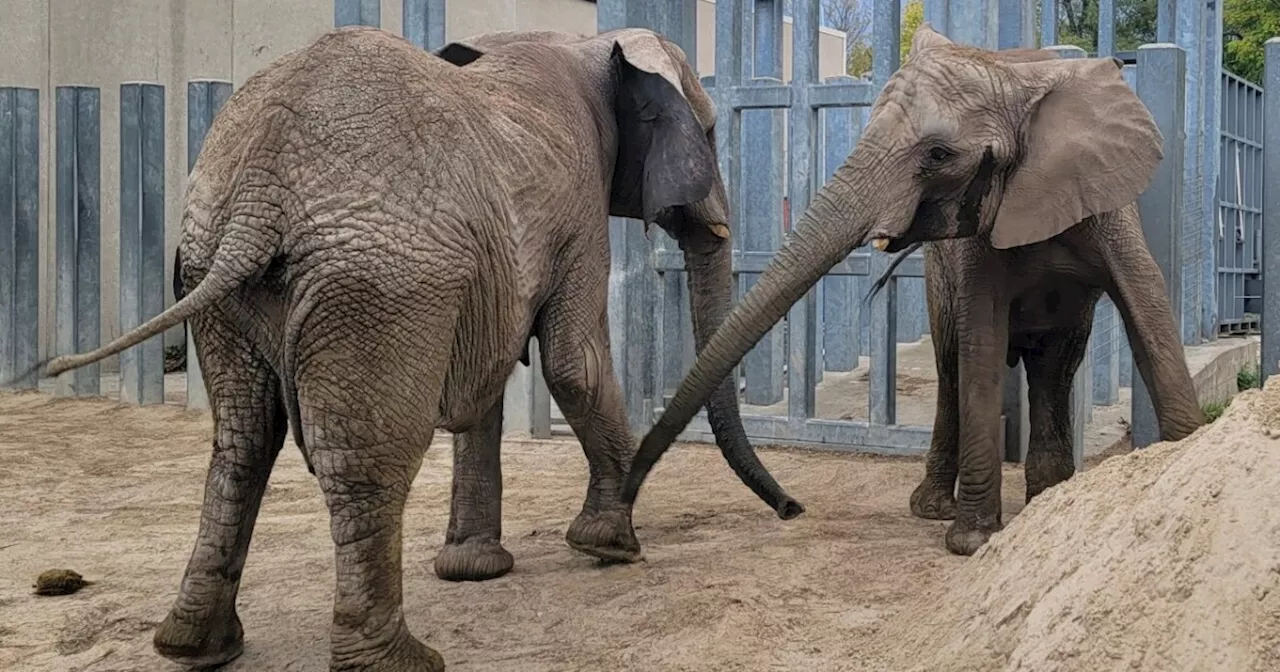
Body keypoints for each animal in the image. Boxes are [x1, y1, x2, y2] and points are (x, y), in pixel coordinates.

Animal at [45, 26, 798, 670]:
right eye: (708, 133)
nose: (792, 512)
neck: (589, 43)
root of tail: (262, 180)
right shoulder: (578, 203)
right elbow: (573, 365)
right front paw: (613, 548)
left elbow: (490, 380)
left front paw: (475, 571)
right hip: (380, 280)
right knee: (367, 458)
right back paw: (397, 661)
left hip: (213, 265)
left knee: (242, 438)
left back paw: (195, 646)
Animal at [616, 23, 1198, 555]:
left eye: (938, 154)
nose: (791, 508)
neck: (1016, 77)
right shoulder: (974, 240)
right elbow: (980, 341)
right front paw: (972, 540)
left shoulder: (1107, 206)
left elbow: (1150, 315)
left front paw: (1185, 454)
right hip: (939, 275)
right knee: (953, 363)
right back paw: (939, 508)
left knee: (1056, 364)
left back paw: (1047, 497)